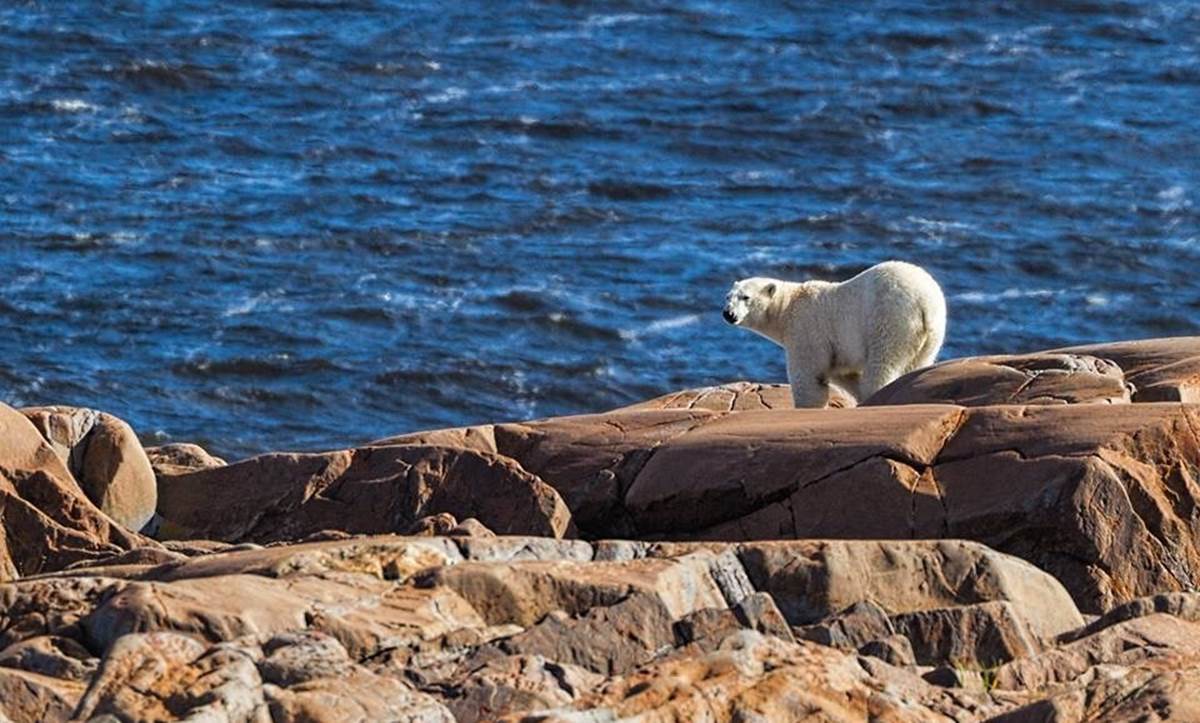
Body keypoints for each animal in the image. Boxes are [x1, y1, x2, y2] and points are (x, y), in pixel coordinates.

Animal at [722, 260, 946, 408]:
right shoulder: (837, 349)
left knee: (882, 362)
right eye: (727, 297)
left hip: (889, 318)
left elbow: (809, 376)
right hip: (931, 334)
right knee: (918, 362)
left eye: (745, 297)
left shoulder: (806, 329)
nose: (728, 314)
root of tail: (924, 301)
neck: (787, 306)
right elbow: (842, 373)